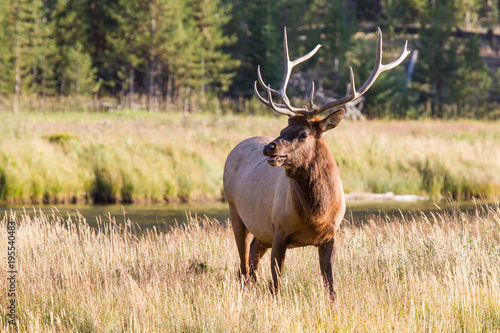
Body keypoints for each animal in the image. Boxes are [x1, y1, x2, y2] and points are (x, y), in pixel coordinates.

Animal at [224, 27, 410, 300]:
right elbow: (276, 284)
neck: (316, 215)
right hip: (236, 213)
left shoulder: (330, 235)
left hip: (261, 233)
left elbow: (330, 284)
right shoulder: (279, 231)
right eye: (283, 129)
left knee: (250, 263)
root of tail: (233, 149)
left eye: (303, 134)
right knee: (243, 266)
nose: (269, 148)